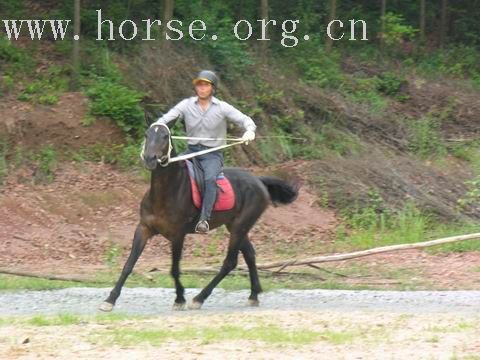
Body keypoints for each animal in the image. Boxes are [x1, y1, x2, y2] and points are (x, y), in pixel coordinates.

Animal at [99, 121, 298, 312]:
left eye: (165, 136)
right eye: (147, 135)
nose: (149, 158)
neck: (166, 192)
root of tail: (259, 181)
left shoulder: (177, 235)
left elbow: (174, 269)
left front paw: (180, 299)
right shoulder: (144, 229)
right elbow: (128, 265)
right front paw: (110, 300)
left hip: (240, 227)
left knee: (230, 262)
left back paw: (200, 298)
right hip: (236, 227)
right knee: (250, 254)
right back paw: (253, 295)